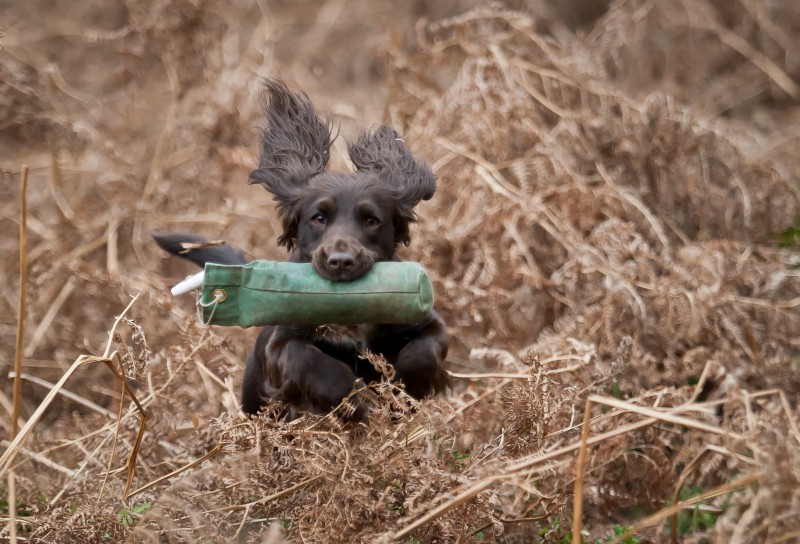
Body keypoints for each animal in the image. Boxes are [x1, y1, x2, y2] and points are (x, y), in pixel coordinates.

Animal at [153, 78, 446, 420]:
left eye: (371, 220)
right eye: (318, 218)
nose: (341, 261)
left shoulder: (427, 323)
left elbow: (422, 351)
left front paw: (406, 390)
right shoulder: (280, 344)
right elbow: (310, 359)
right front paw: (354, 401)